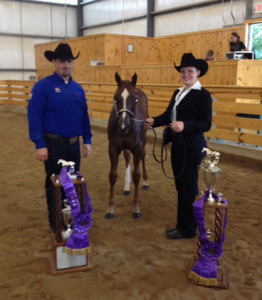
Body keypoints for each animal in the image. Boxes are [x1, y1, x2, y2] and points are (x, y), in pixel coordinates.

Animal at [105, 72, 148, 219]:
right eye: (115, 97)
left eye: (134, 98)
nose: (123, 126)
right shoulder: (113, 148)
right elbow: (112, 176)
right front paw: (110, 208)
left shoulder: (138, 147)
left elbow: (136, 175)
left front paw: (136, 208)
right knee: (128, 158)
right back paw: (126, 187)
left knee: (143, 156)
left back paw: (145, 182)